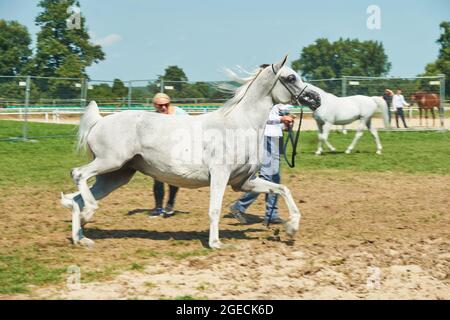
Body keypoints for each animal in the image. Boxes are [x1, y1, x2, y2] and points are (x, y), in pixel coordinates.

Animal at [60, 56, 320, 249]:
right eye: (291, 77)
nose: (316, 98)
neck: (238, 125)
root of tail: (98, 122)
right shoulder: (220, 176)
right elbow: (214, 209)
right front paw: (216, 243)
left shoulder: (243, 182)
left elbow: (282, 188)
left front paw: (291, 228)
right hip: (109, 162)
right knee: (78, 175)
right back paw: (88, 214)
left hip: (116, 176)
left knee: (77, 199)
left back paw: (81, 237)